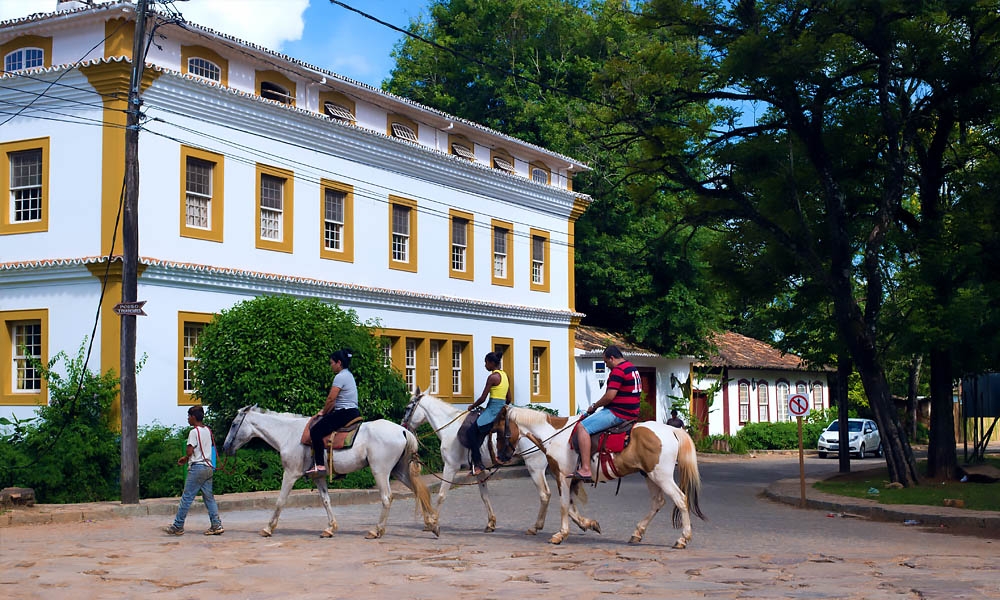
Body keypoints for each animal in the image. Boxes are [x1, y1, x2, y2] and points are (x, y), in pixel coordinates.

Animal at [223, 408, 442, 540]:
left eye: (234, 425)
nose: (225, 447)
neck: (289, 434)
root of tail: (403, 431)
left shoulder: (290, 473)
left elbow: (280, 501)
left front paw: (268, 528)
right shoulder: (318, 477)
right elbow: (326, 501)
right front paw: (330, 528)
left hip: (380, 471)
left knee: (387, 497)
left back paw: (376, 530)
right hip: (400, 471)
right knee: (418, 492)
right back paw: (432, 524)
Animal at [400, 390, 600, 536]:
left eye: (408, 407)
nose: (403, 425)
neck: (450, 427)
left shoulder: (450, 467)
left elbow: (441, 495)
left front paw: (433, 522)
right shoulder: (479, 470)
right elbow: (485, 496)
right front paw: (490, 523)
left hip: (534, 467)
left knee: (546, 494)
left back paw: (538, 526)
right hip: (552, 468)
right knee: (565, 495)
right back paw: (584, 522)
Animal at [492, 406, 704, 548]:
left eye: (499, 431)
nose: (501, 457)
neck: (554, 436)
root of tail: (672, 430)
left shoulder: (562, 476)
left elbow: (563, 505)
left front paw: (560, 534)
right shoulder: (573, 479)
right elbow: (571, 508)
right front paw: (589, 524)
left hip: (661, 476)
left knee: (681, 499)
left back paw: (683, 538)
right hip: (650, 476)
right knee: (658, 502)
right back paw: (637, 533)